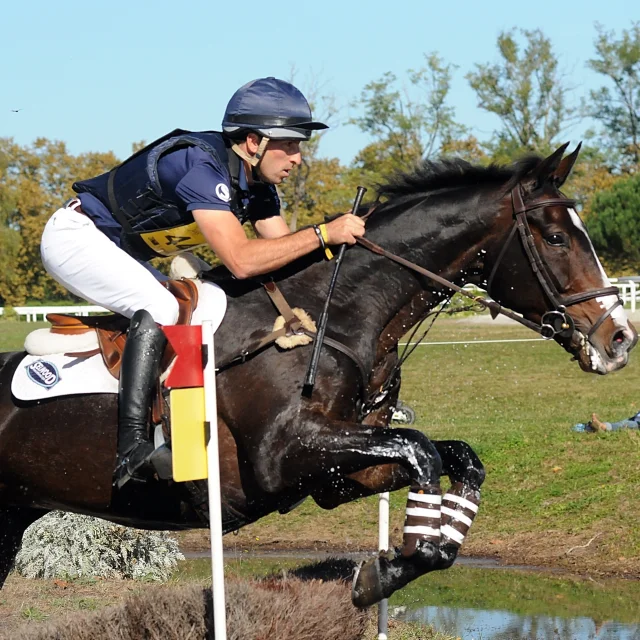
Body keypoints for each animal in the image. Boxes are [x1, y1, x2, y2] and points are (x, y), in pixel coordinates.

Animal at [0, 142, 636, 608]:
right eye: (556, 237)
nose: (619, 339)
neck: (334, 318)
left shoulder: (337, 472)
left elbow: (453, 456)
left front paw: (404, 561)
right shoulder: (282, 456)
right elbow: (422, 449)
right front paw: (387, 570)